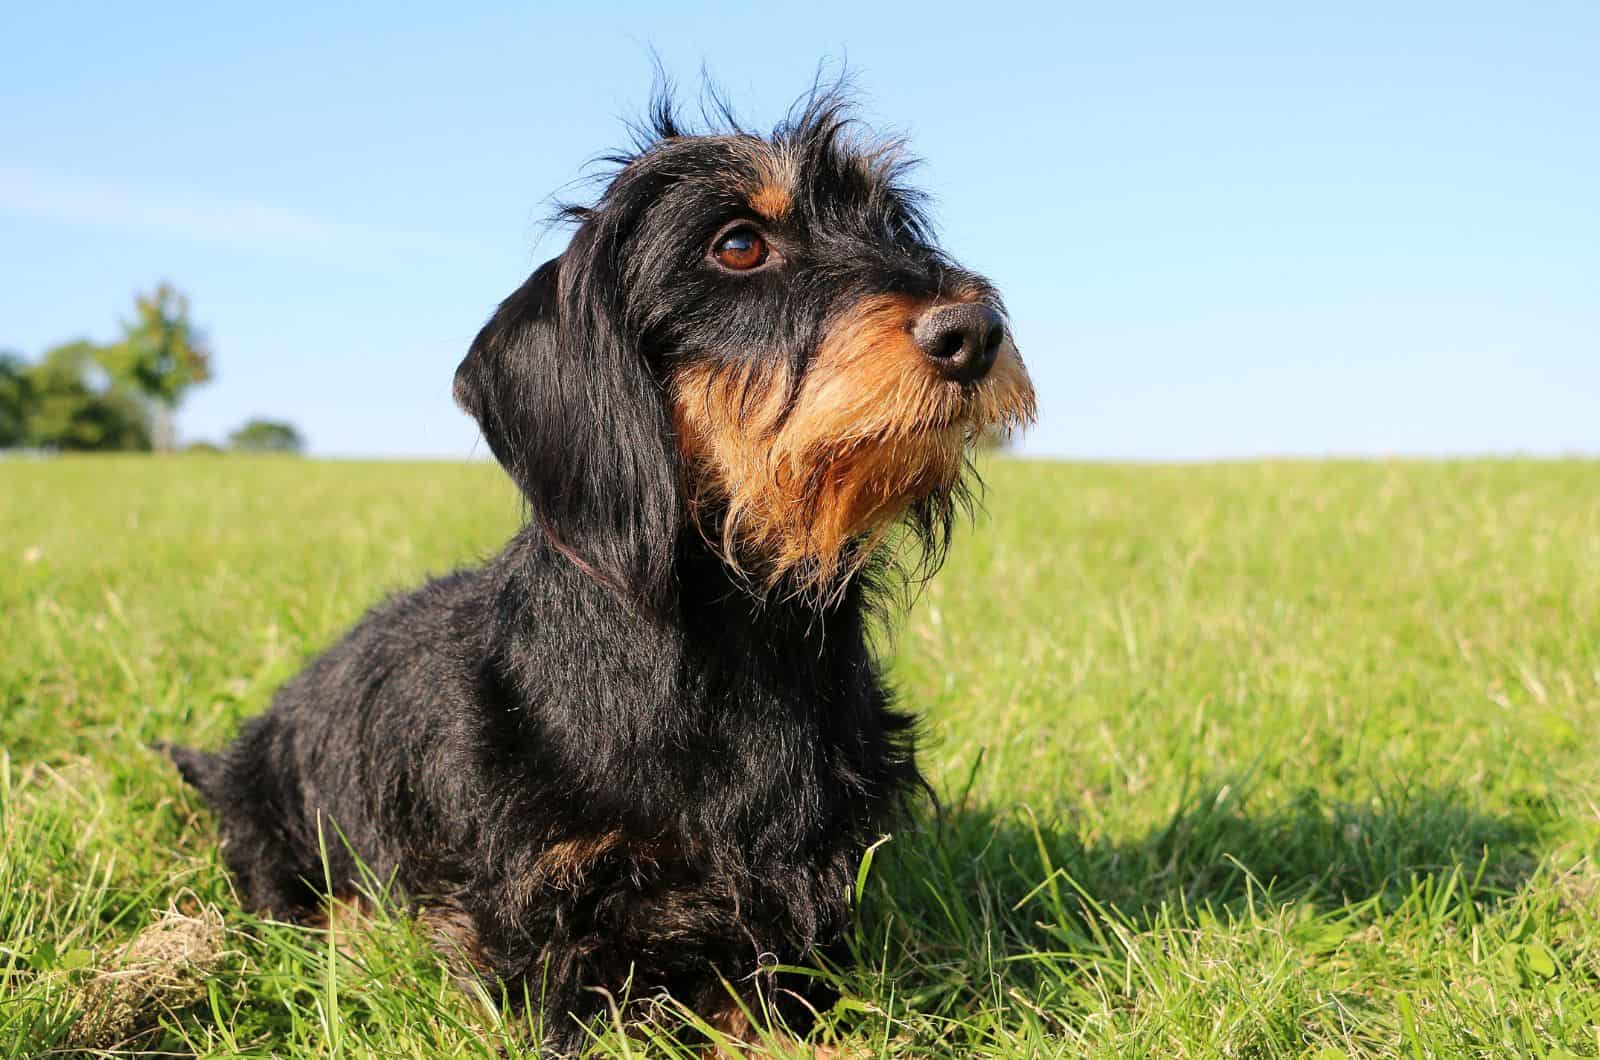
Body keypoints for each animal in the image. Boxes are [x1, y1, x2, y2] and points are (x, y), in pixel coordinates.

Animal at [162, 85, 1036, 1056]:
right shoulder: (554, 921)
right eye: (738, 244)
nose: (975, 331)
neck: (732, 636)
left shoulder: (802, 897)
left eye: (892, 225)